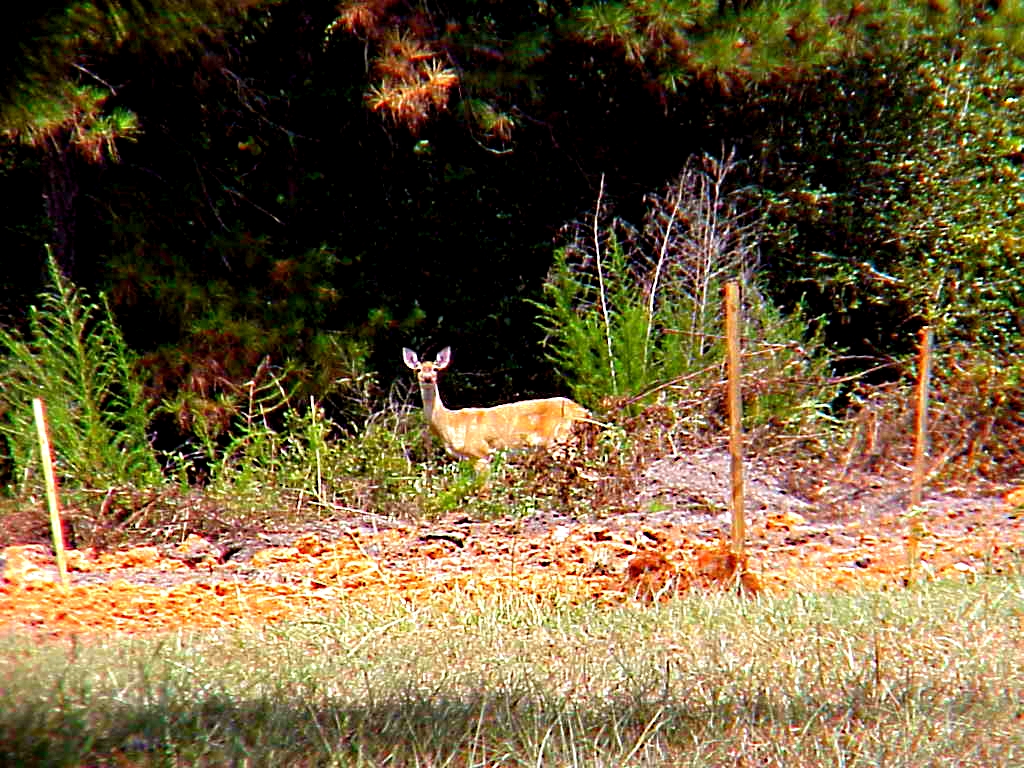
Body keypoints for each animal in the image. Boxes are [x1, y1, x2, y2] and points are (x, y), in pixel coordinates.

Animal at [402, 346, 591, 471]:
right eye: (418, 369)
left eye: (435, 368)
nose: (427, 378)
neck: (450, 424)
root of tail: (584, 412)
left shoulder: (481, 452)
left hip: (560, 439)